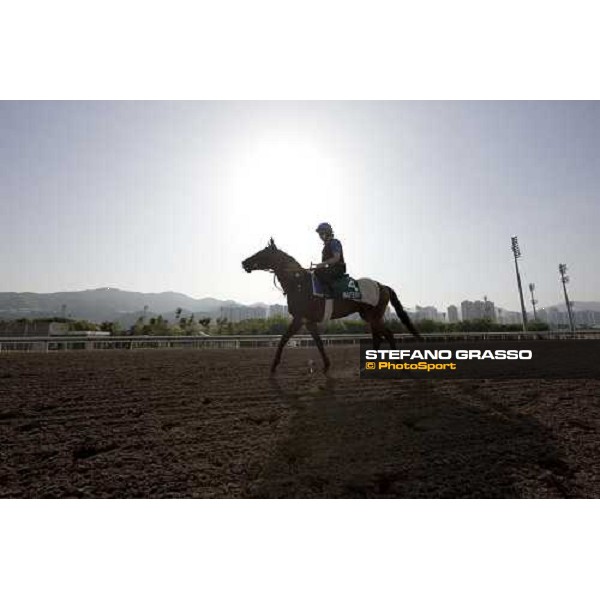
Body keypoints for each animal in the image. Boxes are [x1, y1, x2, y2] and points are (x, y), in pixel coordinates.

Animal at [240, 238, 422, 370]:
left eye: (261, 253)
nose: (244, 262)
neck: (298, 283)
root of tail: (382, 286)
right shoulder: (308, 321)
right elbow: (319, 342)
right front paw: (326, 365)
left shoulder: (299, 318)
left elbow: (283, 339)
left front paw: (273, 366)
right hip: (369, 316)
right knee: (378, 336)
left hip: (374, 315)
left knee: (388, 334)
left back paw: (396, 362)